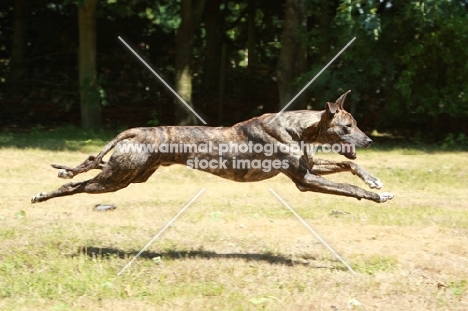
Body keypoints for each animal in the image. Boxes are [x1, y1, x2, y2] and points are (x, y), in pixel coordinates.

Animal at [31, 91, 394, 205]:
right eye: (347, 127)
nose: (369, 141)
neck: (298, 128)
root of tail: (133, 131)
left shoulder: (310, 168)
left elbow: (349, 166)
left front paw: (375, 180)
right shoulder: (305, 180)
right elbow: (348, 186)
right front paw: (375, 195)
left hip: (131, 174)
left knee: (87, 171)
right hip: (114, 179)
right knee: (75, 185)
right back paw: (42, 195)